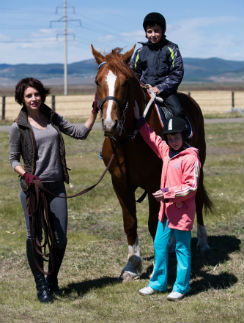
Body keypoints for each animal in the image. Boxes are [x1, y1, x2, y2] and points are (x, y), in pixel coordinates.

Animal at [91, 45, 212, 280]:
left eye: (126, 82)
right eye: (97, 81)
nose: (110, 125)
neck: (129, 140)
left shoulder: (155, 182)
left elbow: (153, 224)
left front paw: (158, 263)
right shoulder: (120, 184)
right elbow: (130, 223)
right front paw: (132, 265)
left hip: (198, 169)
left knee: (198, 201)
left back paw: (202, 243)